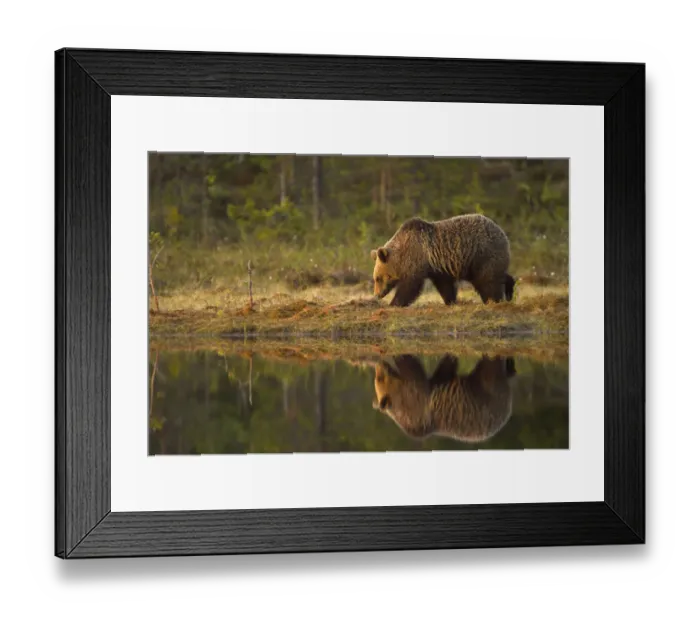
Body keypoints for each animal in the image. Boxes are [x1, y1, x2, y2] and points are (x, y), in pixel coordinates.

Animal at [370, 213, 515, 307]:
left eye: (378, 278)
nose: (377, 295)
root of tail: (502, 233)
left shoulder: (416, 260)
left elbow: (410, 286)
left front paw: (394, 303)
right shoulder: (438, 268)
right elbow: (445, 286)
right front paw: (450, 301)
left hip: (482, 254)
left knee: (487, 280)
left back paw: (493, 300)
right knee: (496, 275)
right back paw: (509, 291)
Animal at [372, 353, 517, 444]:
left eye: (379, 378)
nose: (379, 366)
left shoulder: (414, 402)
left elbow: (413, 370)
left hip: (488, 395)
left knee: (491, 367)